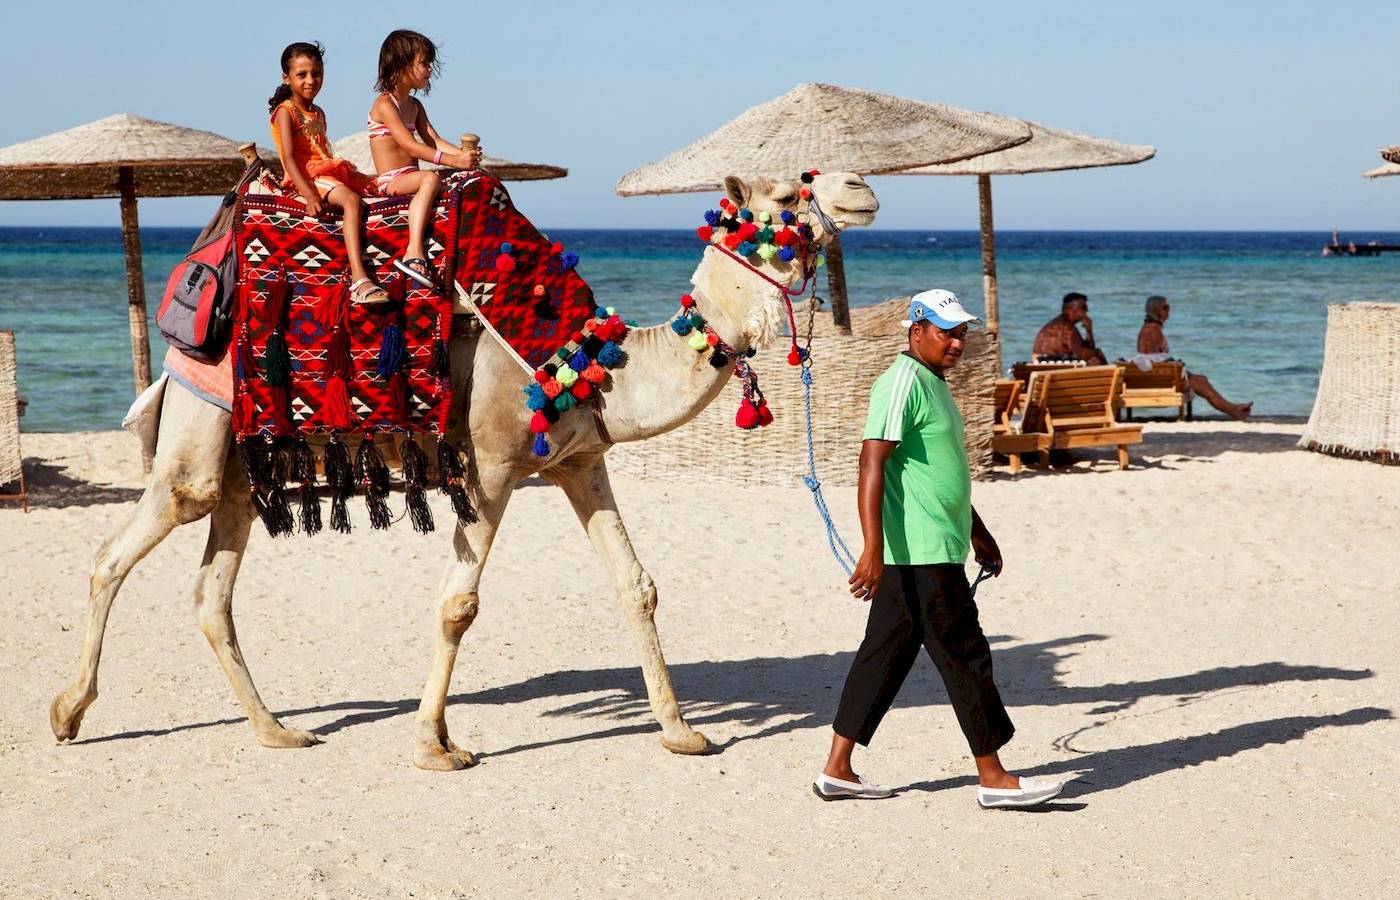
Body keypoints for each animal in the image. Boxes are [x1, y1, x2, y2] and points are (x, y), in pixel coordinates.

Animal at [49, 172, 879, 770]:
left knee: (210, 595)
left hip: (243, 473)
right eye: (783, 198)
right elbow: (459, 604)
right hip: (199, 435)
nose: (860, 189)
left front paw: (682, 734)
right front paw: (435, 747)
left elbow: (636, 586)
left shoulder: (582, 462)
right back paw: (67, 712)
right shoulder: (491, 465)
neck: (591, 364)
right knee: (114, 552)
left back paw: (278, 731)